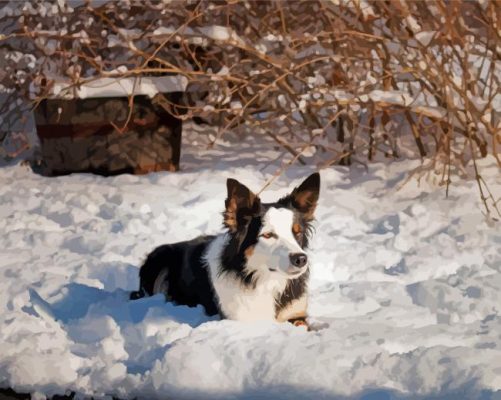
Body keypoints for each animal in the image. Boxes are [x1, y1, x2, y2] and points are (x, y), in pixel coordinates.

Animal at [130, 173, 320, 328]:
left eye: (297, 232)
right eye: (268, 235)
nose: (301, 259)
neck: (264, 279)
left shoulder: (297, 314)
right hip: (159, 259)